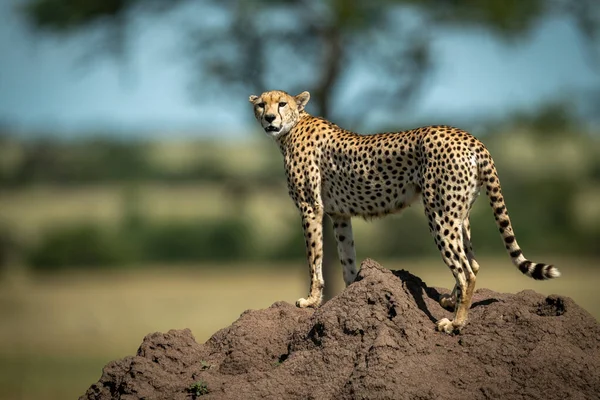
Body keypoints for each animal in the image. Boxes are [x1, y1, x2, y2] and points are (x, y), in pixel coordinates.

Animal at [247, 89, 556, 332]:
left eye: (281, 104)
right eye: (261, 104)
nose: (270, 118)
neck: (291, 128)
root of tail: (469, 137)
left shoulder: (310, 207)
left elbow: (314, 257)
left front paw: (311, 300)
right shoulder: (340, 215)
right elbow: (346, 259)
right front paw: (351, 293)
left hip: (439, 213)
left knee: (465, 269)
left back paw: (455, 323)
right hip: (459, 213)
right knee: (473, 261)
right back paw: (450, 301)